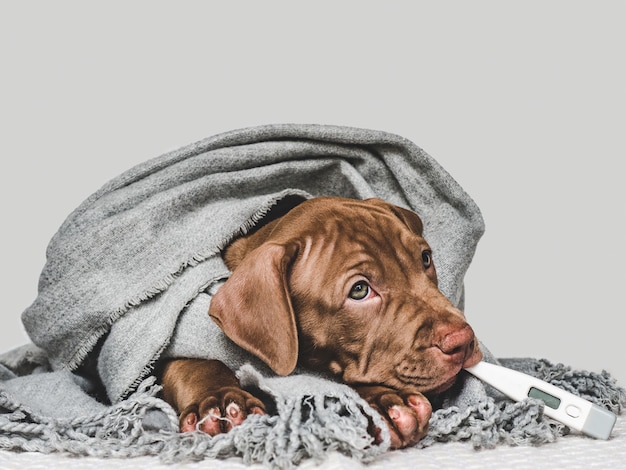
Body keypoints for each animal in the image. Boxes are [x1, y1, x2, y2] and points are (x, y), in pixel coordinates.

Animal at [158, 197, 480, 448]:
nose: (462, 340)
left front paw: (379, 401)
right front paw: (219, 401)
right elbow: (192, 364)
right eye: (359, 290)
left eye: (425, 259)